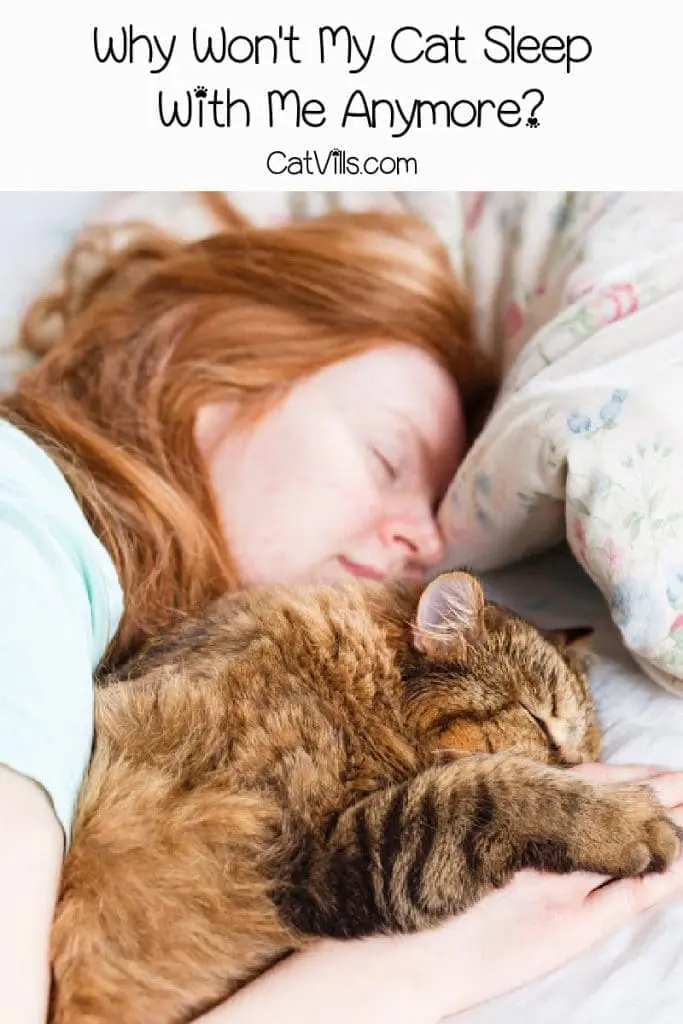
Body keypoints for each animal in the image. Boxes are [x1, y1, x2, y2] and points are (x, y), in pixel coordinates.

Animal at [48, 573, 679, 1019]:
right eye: (537, 720)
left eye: (590, 750)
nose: (580, 766)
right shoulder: (313, 859)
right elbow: (491, 789)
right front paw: (626, 820)